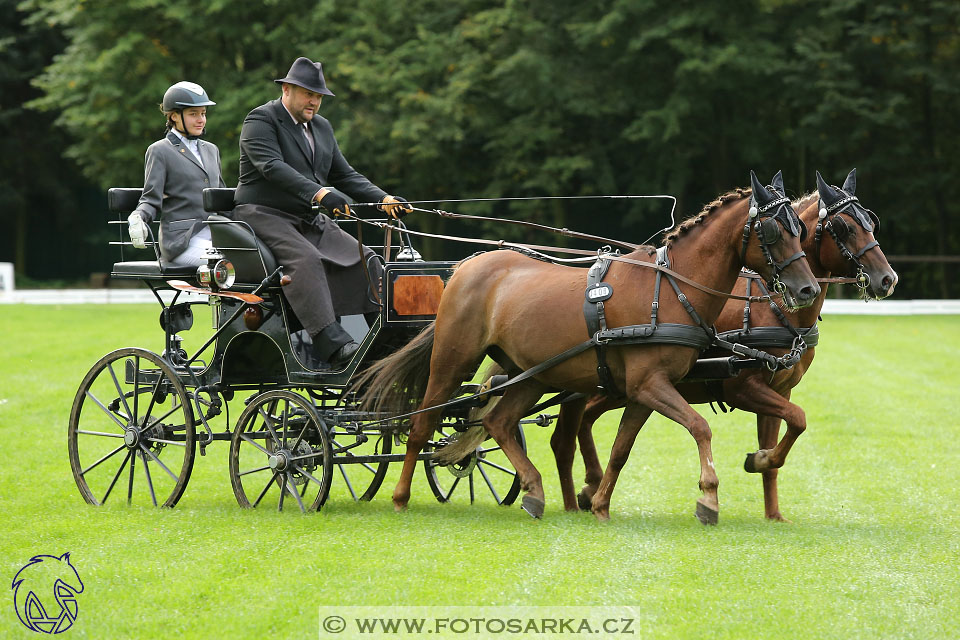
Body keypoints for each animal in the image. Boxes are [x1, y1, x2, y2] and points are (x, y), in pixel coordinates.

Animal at [360, 172, 816, 524]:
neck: (671, 288)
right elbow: (700, 427)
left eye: (802, 230)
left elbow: (621, 449)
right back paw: (400, 496)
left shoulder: (646, 390)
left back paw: (534, 491)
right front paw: (708, 497)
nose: (807, 289)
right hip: (453, 360)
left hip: (531, 374)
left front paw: (599, 504)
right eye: (773, 231)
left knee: (499, 422)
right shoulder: (650, 385)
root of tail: (465, 266)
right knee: (422, 424)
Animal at [552, 169, 896, 520]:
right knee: (573, 430)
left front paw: (772, 506)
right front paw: (753, 464)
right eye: (845, 227)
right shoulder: (743, 388)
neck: (773, 307)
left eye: (871, 221)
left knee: (574, 429)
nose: (888, 279)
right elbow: (798, 418)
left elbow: (785, 436)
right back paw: (587, 488)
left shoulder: (780, 390)